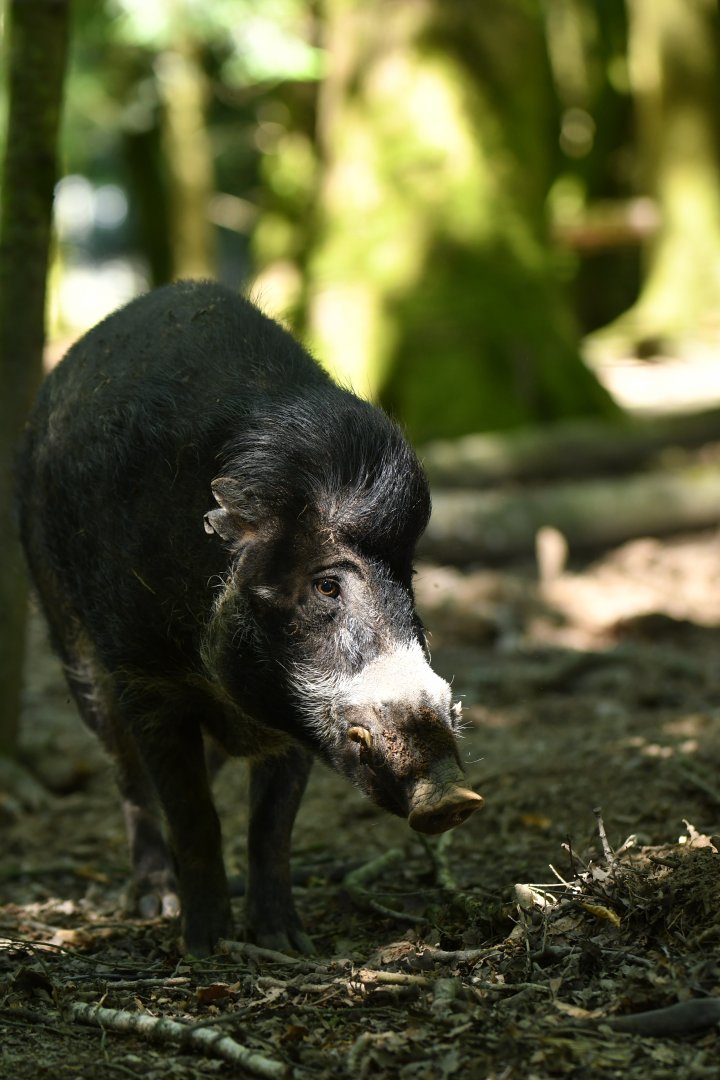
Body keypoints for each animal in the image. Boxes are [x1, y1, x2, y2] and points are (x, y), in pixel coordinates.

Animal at [16, 280, 482, 956]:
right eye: (326, 583)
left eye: (410, 580)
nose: (455, 797)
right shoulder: (147, 677)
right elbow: (193, 812)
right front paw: (205, 947)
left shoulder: (296, 715)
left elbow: (271, 825)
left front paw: (287, 943)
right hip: (70, 635)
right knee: (126, 774)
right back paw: (153, 903)